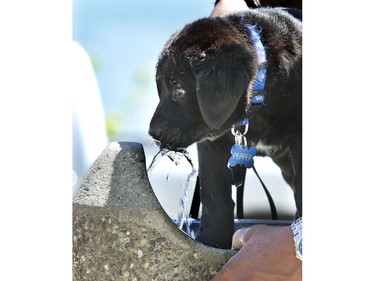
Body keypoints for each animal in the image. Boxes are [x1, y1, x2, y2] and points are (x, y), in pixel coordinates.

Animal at [150, 7, 302, 247]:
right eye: (160, 88)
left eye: (179, 90)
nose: (152, 134)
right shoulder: (212, 143)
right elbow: (215, 195)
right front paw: (212, 241)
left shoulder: (298, 134)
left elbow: (302, 185)